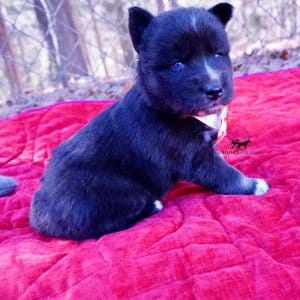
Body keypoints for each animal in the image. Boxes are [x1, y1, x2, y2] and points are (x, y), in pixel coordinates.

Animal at [30, 3, 270, 240]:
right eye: (177, 64)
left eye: (218, 54)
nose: (214, 90)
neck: (167, 108)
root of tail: (38, 214)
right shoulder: (194, 156)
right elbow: (224, 173)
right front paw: (252, 185)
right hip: (107, 192)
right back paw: (152, 206)